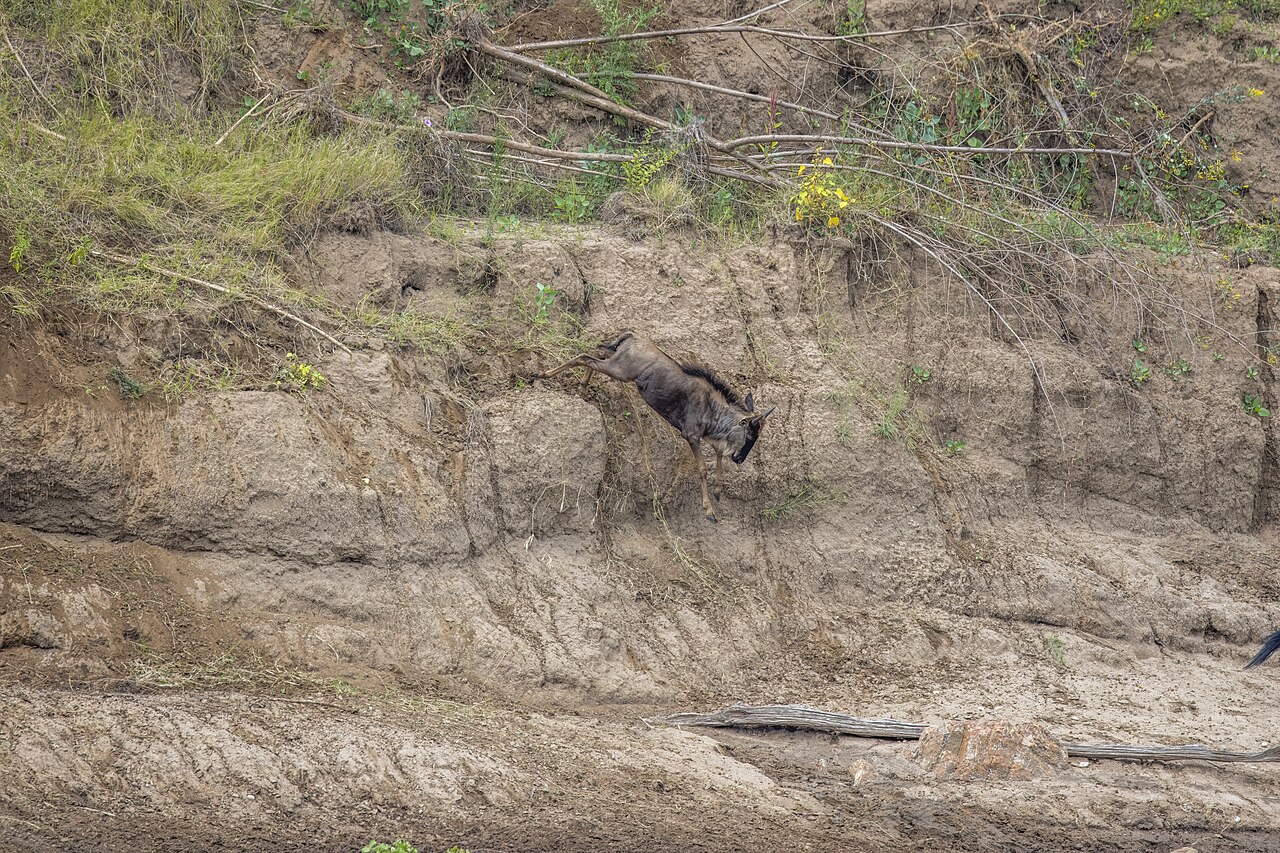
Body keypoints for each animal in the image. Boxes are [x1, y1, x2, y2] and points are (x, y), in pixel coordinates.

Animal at [533, 332, 775, 522]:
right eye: (750, 436)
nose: (740, 459)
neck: (713, 409)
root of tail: (632, 336)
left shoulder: (709, 438)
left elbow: (718, 458)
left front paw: (718, 491)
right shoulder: (691, 436)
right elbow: (703, 469)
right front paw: (709, 510)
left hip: (614, 362)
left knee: (596, 353)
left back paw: (582, 383)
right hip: (620, 371)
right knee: (585, 357)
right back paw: (542, 374)